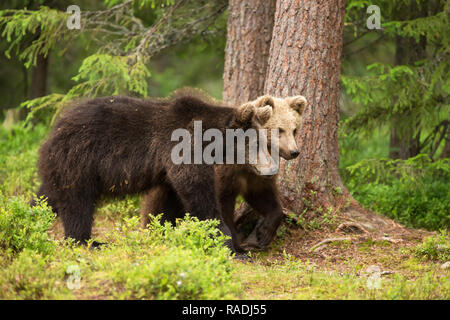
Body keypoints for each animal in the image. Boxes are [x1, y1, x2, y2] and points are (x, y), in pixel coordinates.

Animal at [34, 92, 270, 252]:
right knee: (78, 203)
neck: (211, 141)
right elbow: (198, 192)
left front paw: (160, 230)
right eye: (256, 143)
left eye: (265, 141)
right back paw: (87, 241)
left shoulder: (168, 170)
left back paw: (33, 216)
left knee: (47, 195)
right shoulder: (183, 148)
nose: (269, 166)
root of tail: (54, 130)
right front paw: (226, 240)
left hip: (63, 167)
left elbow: (169, 200)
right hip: (79, 160)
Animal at [142, 94, 306, 251]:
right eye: (280, 129)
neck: (243, 163)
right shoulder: (222, 175)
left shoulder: (255, 176)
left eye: (295, 129)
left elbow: (263, 195)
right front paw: (234, 243)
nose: (294, 151)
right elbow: (221, 206)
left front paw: (264, 232)